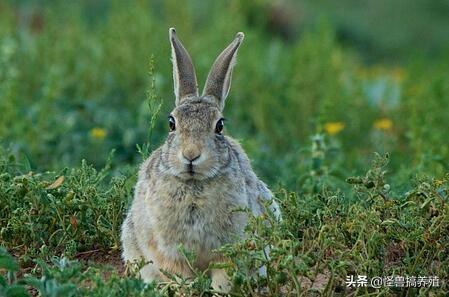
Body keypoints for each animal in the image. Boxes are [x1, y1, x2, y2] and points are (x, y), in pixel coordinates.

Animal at [120, 27, 280, 292]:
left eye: (220, 126)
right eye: (171, 123)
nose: (191, 154)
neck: (194, 184)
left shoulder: (230, 250)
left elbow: (223, 279)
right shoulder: (169, 253)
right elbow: (181, 277)